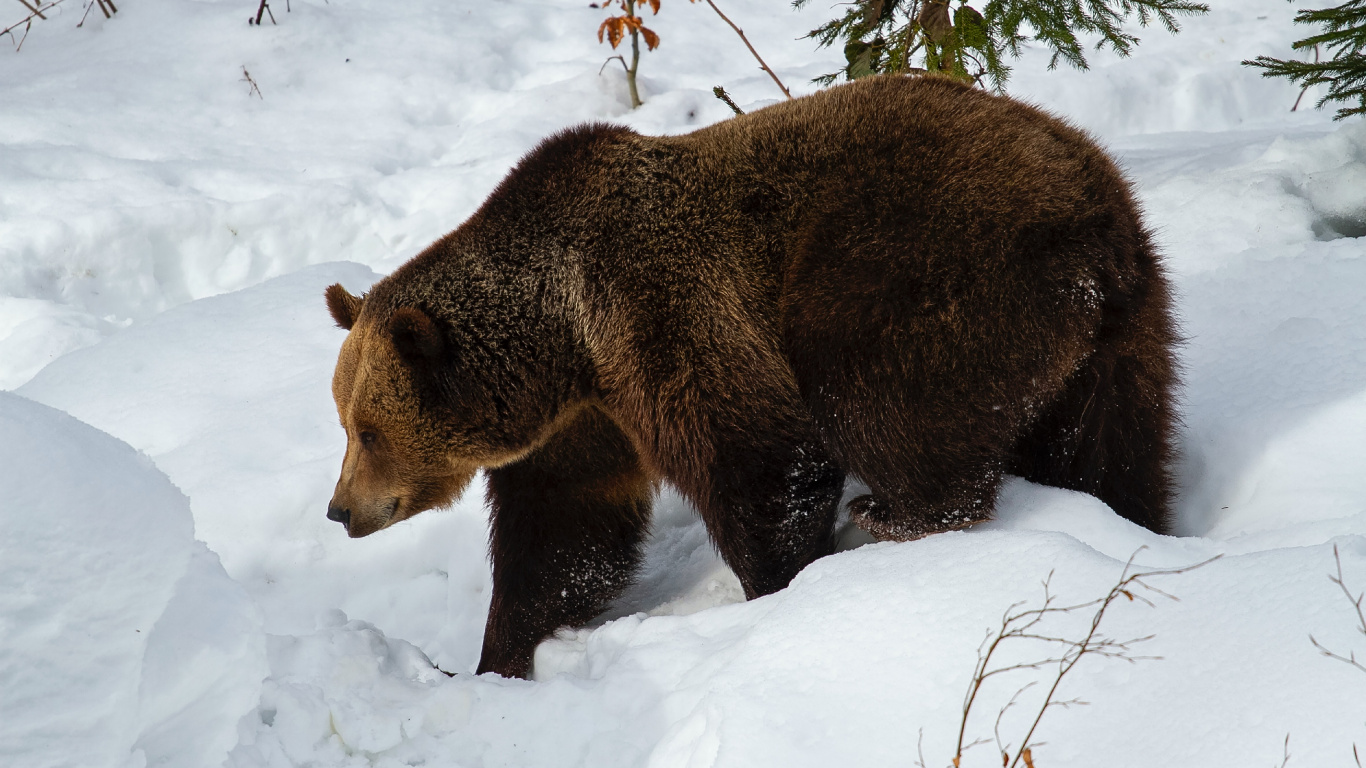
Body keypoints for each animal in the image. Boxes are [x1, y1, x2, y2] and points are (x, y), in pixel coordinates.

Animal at [319, 74, 1174, 677]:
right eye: (345, 423)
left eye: (368, 429)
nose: (339, 510)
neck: (564, 338)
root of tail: (1095, 228)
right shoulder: (583, 419)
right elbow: (565, 533)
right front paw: (498, 657)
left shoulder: (660, 309)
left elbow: (762, 457)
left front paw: (781, 590)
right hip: (1124, 334)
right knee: (1109, 451)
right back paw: (1129, 519)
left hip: (922, 264)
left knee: (877, 393)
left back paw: (897, 513)